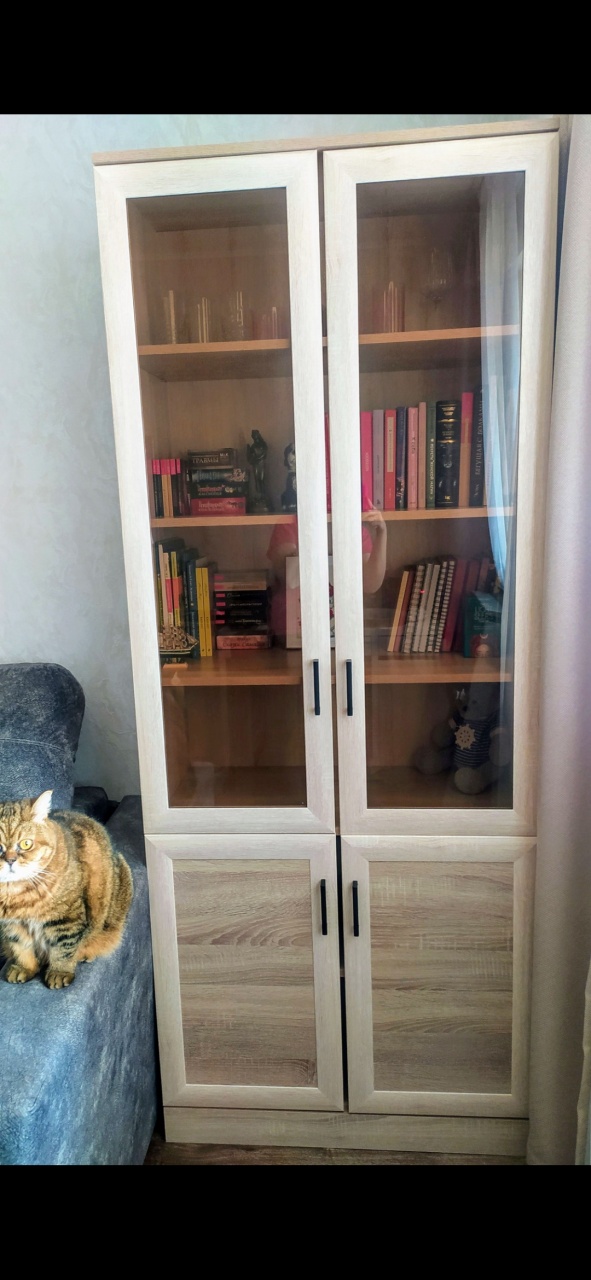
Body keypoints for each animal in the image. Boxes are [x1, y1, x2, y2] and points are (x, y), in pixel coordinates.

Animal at [0, 789, 133, 989]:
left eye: (25, 843)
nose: (9, 860)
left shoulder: (67, 919)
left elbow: (63, 948)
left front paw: (59, 972)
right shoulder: (11, 925)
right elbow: (20, 947)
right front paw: (24, 967)